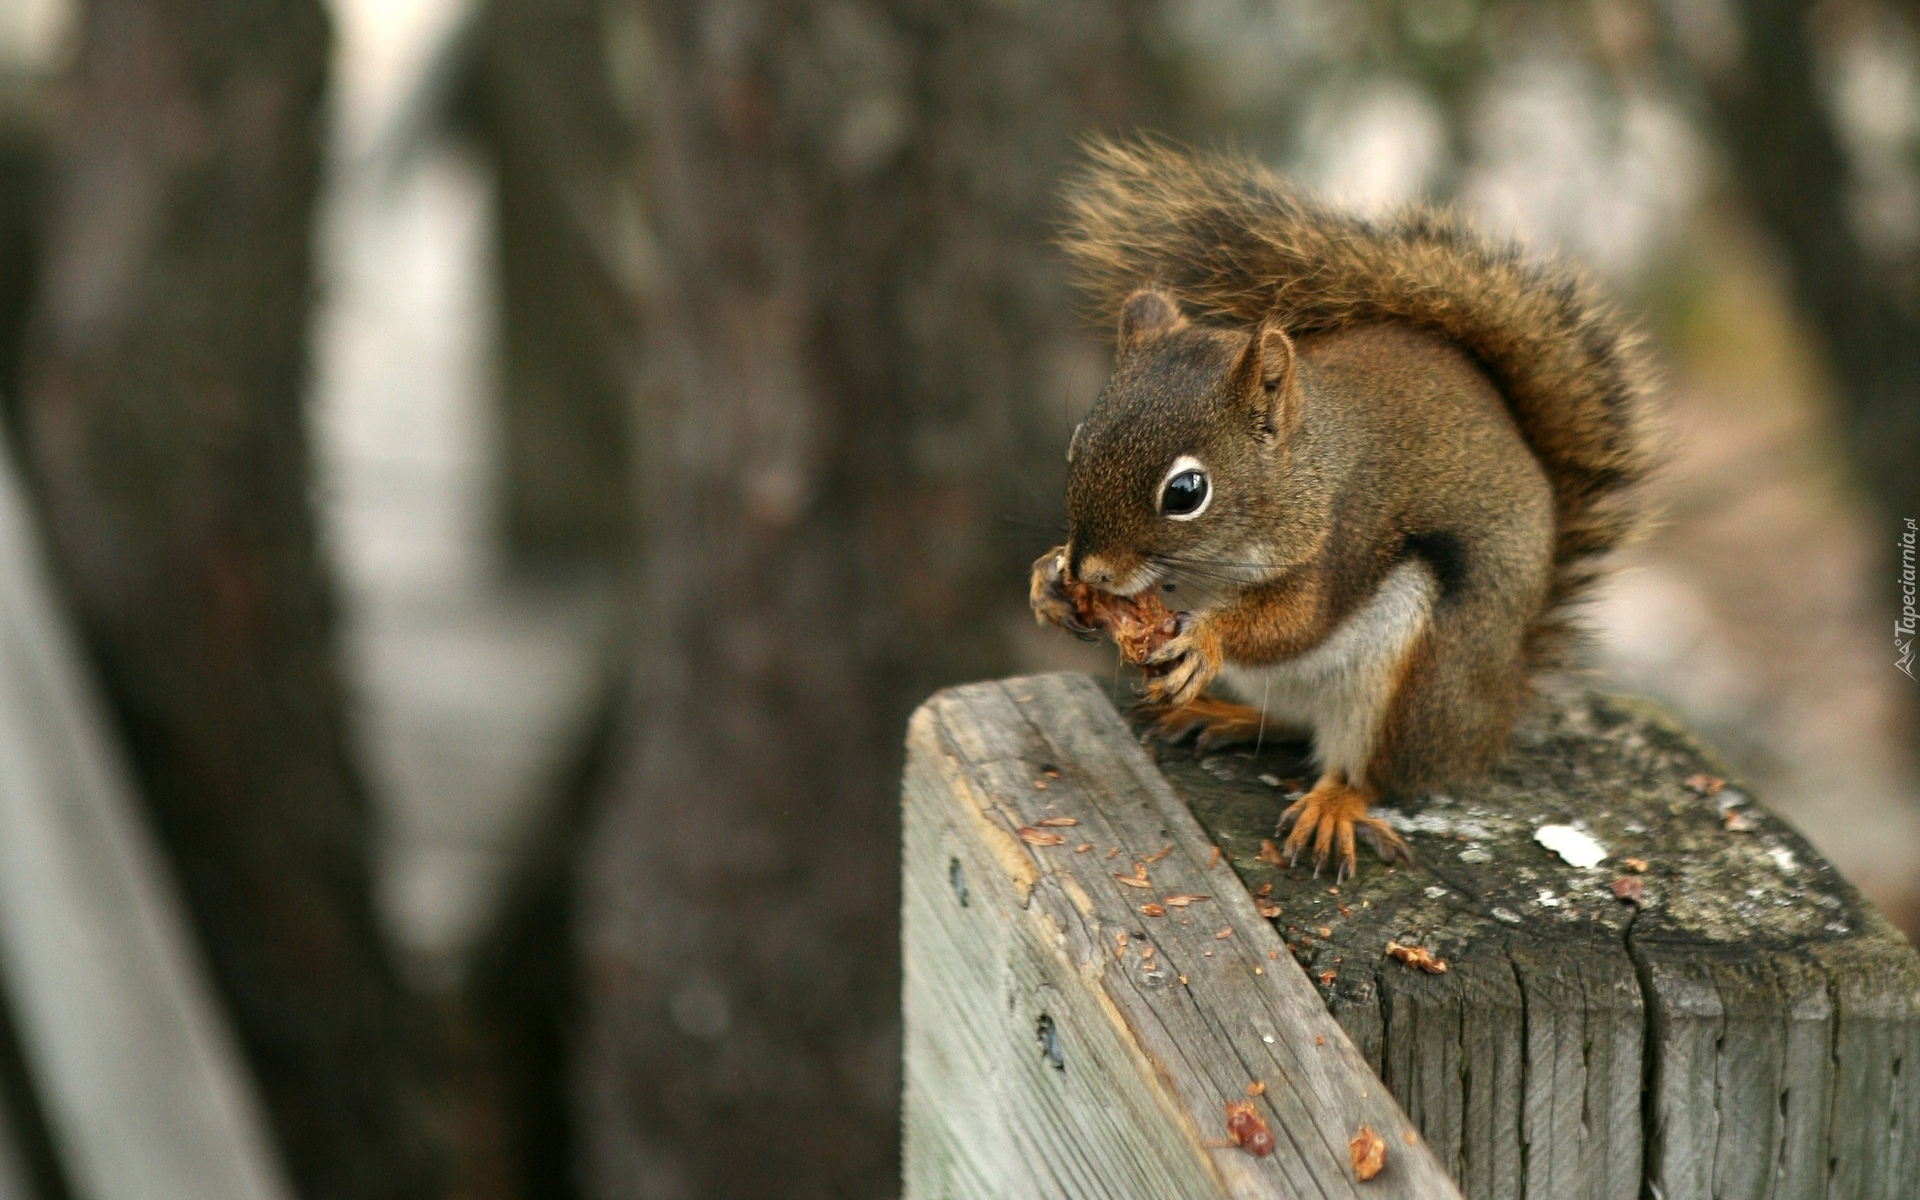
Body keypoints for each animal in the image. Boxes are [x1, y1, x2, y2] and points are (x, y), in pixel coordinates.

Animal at [1029, 140, 1658, 879]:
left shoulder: (1347, 534)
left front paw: (1205, 639)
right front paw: (1047, 583)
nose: (1089, 571)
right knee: (1291, 722)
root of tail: (1498, 706)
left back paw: (1333, 805)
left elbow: (1298, 619)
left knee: (1370, 769)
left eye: (1186, 493)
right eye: (1078, 441)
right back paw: (1221, 714)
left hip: (1416, 681)